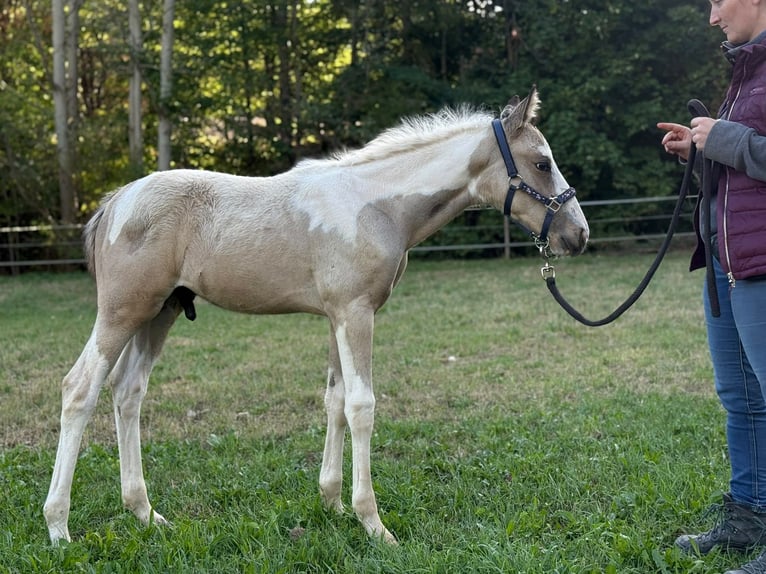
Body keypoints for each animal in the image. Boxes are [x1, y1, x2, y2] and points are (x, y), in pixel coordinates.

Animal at [43, 88, 589, 545]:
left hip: (161, 312)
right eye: (542, 163)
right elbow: (362, 406)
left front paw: (331, 503)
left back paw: (145, 513)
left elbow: (335, 400)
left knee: (127, 392)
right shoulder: (356, 313)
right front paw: (373, 523)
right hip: (124, 311)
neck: (375, 205)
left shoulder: (336, 316)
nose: (578, 235)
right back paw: (59, 527)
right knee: (79, 389)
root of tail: (116, 201)